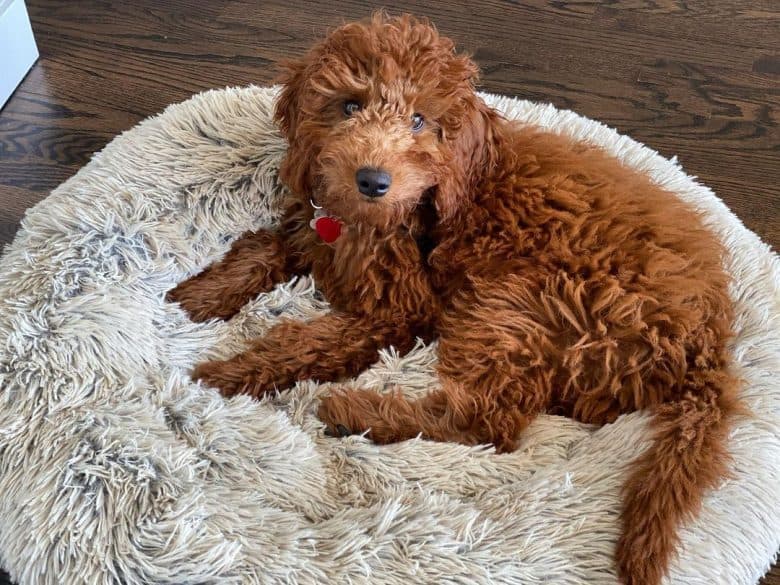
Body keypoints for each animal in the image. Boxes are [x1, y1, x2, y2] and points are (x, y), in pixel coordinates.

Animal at [168, 13, 740, 584]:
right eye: (350, 106)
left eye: (421, 120)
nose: (372, 180)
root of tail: (708, 346)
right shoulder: (310, 227)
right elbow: (260, 249)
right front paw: (195, 296)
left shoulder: (400, 309)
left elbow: (304, 342)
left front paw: (228, 373)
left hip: (516, 300)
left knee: (487, 423)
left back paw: (357, 410)